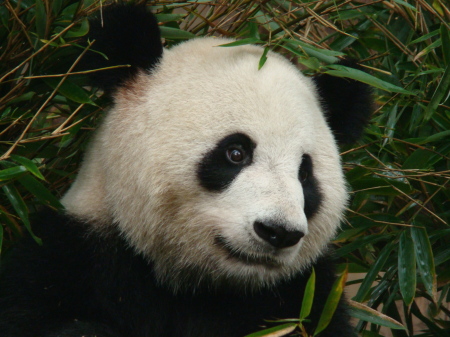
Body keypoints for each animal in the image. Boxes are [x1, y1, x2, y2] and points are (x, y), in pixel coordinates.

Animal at [0, 3, 372, 336]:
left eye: (304, 174)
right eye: (236, 153)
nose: (278, 232)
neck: (192, 284)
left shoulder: (303, 298)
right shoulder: (68, 258)